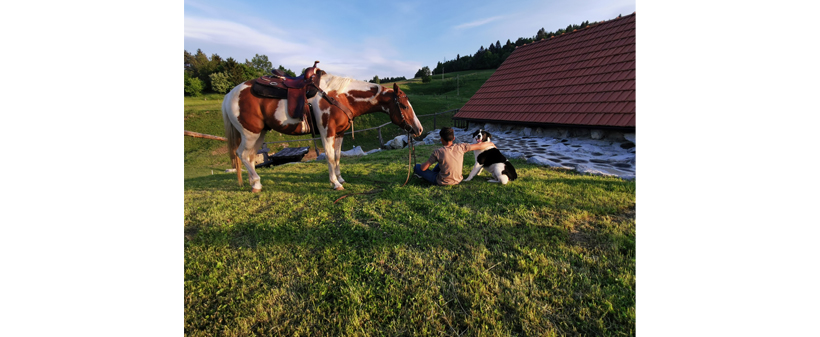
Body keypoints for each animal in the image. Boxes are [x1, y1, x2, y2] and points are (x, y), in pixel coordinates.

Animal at [221, 67, 422, 192]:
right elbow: (330, 158)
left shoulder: (340, 134)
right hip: (250, 133)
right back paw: (256, 184)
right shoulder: (327, 133)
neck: (340, 96)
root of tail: (230, 94)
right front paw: (335, 183)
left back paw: (253, 182)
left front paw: (340, 178)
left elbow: (338, 157)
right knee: (243, 155)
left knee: (249, 157)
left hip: (259, 134)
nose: (418, 129)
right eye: (404, 106)